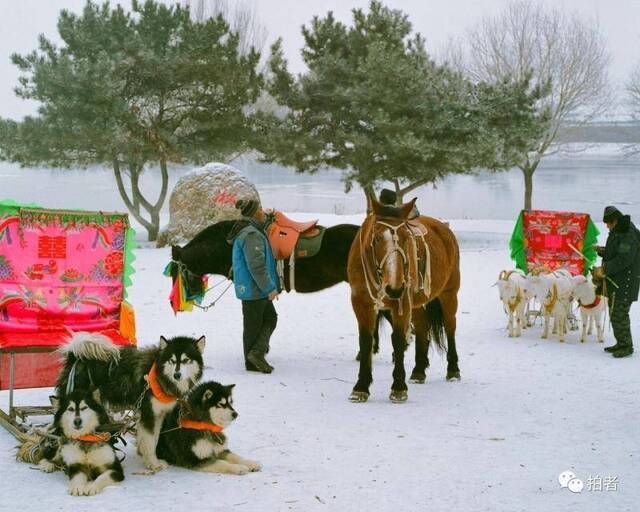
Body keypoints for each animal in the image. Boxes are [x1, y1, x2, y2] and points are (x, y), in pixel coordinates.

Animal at [57, 332, 204, 472]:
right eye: (172, 361)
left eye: (185, 360)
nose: (177, 375)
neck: (157, 373)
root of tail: (75, 358)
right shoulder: (148, 414)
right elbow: (150, 442)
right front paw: (153, 464)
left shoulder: (157, 414)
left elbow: (153, 439)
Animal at [344, 198, 460, 402]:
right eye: (376, 238)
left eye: (407, 237)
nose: (394, 287)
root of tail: (445, 229)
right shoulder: (360, 303)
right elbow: (365, 341)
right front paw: (361, 387)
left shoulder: (402, 303)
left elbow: (398, 340)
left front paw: (398, 387)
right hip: (417, 304)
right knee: (422, 328)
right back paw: (419, 370)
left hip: (449, 294)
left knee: (450, 327)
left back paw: (453, 369)